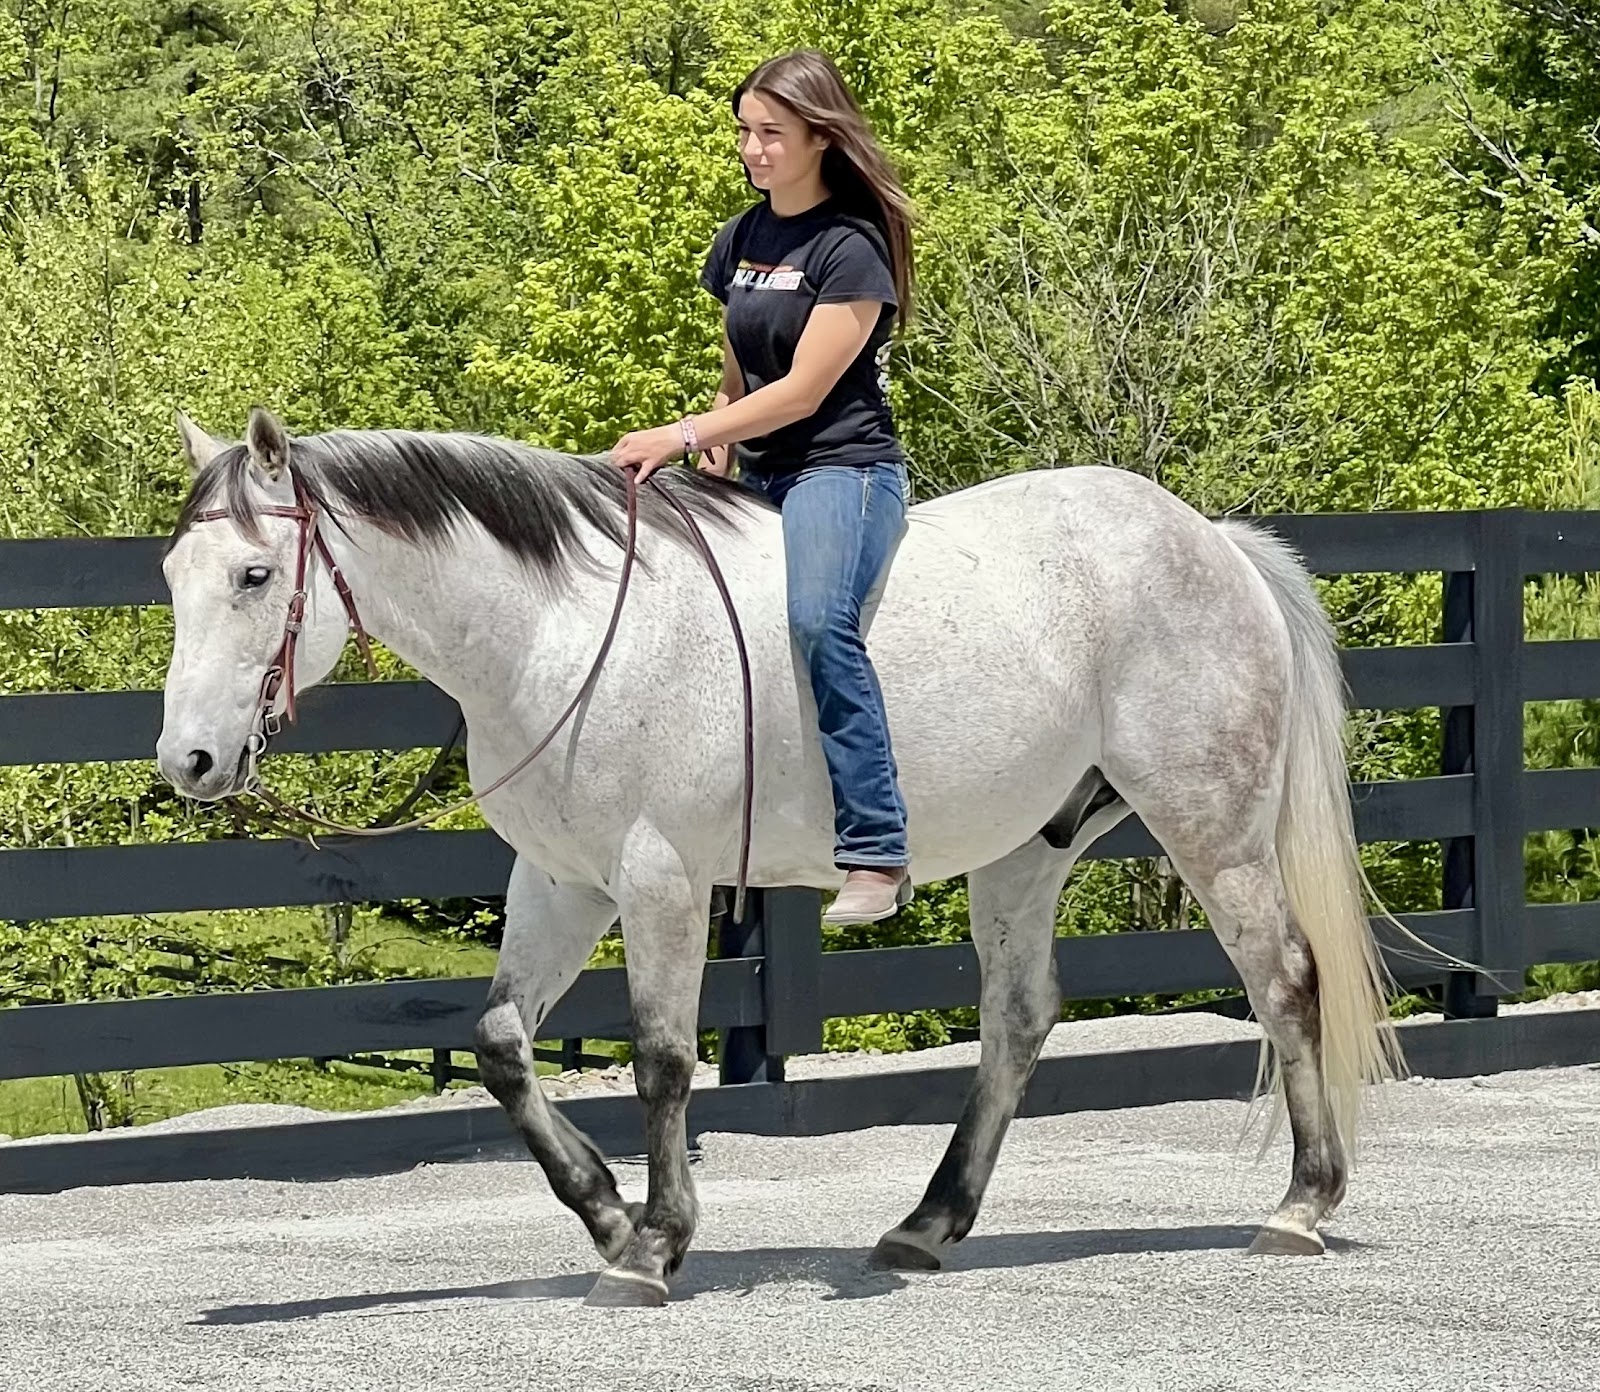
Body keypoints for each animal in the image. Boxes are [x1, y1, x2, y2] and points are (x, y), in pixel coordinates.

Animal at [157, 407, 1403, 1307]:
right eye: (172, 576)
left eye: (255, 577)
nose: (190, 758)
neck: (563, 633)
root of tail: (1212, 542)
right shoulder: (560, 884)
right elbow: (503, 1044)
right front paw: (604, 1212)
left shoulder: (660, 880)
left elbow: (663, 1060)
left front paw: (652, 1245)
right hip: (1025, 851)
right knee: (1017, 1021)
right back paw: (925, 1225)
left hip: (1212, 827)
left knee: (1284, 980)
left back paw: (1301, 1204)